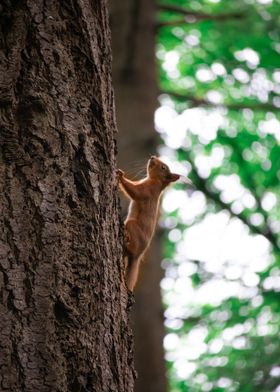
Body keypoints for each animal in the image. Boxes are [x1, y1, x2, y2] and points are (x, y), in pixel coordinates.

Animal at [117, 155, 180, 290]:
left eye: (163, 167)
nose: (152, 157)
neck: (156, 181)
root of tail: (138, 256)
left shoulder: (147, 190)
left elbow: (135, 191)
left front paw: (120, 175)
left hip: (132, 226)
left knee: (131, 248)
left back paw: (126, 241)